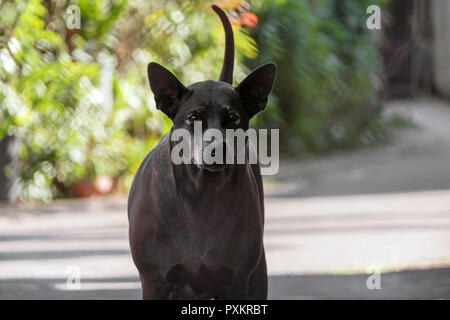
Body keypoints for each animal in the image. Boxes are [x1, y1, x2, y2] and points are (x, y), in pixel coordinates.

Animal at [125, 5, 274, 300]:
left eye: (233, 118)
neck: (203, 195)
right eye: (193, 118)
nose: (217, 147)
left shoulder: (237, 282)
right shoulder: (154, 282)